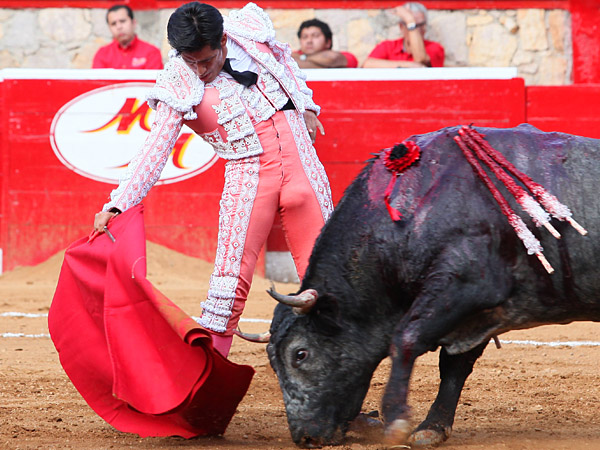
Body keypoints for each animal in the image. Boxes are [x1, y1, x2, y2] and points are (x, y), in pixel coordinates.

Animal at [262, 124, 600, 446]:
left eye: (300, 354)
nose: (306, 437)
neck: (412, 212)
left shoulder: (466, 286)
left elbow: (406, 339)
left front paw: (398, 420)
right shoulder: (475, 313)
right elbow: (454, 365)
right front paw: (432, 428)